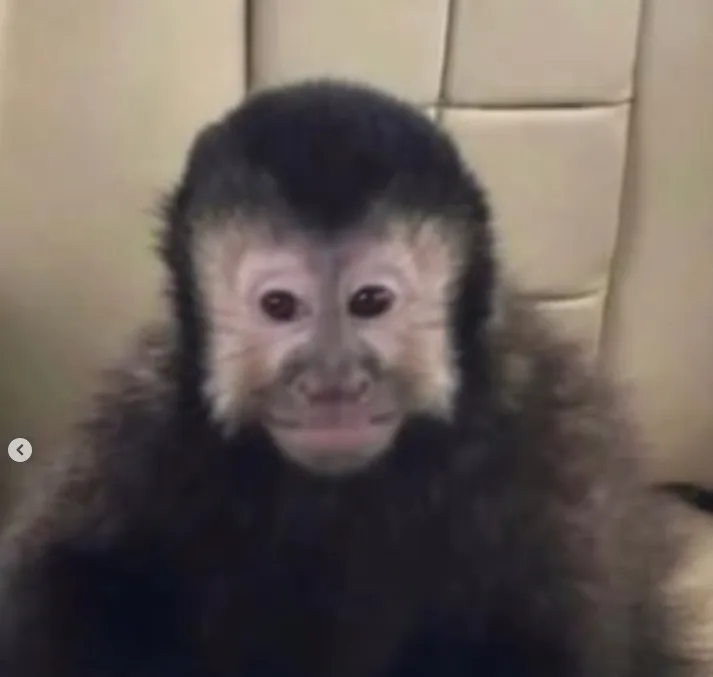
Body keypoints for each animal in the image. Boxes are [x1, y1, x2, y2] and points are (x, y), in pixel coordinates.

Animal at [0, 79, 703, 677]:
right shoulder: (142, 423)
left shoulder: (548, 442)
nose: (332, 384)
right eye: (280, 307)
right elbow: (61, 576)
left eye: (370, 302)